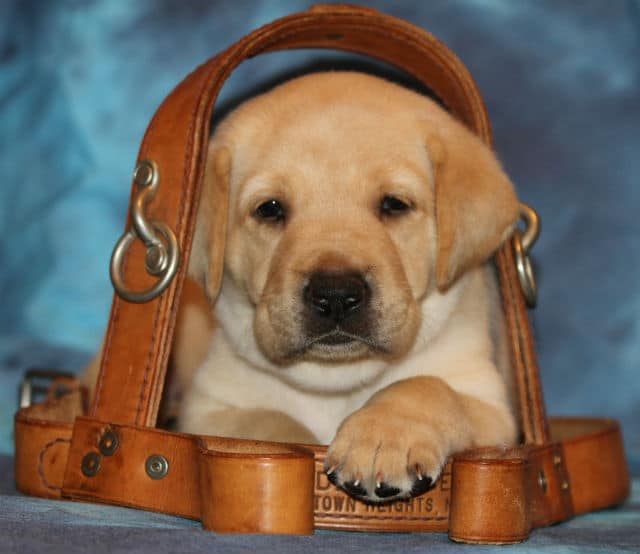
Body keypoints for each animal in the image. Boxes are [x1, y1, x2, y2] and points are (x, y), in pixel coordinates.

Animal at [178, 72, 516, 500]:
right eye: (269, 209)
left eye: (394, 204)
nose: (335, 296)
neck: (336, 382)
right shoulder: (209, 406)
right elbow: (268, 424)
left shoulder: (490, 405)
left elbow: (427, 386)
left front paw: (385, 436)